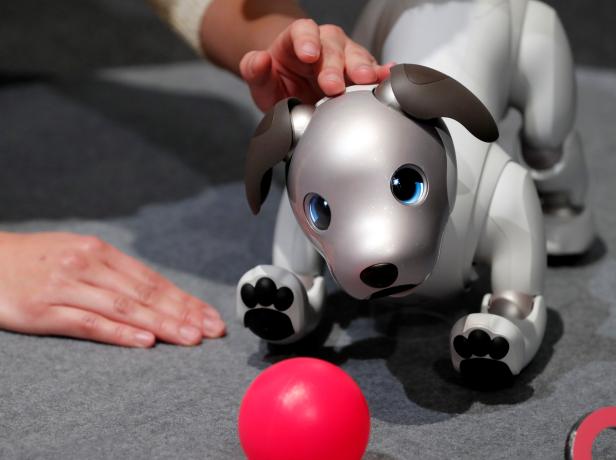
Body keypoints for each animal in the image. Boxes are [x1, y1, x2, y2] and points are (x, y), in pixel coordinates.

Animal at [235, 0, 592, 384]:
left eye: (406, 185)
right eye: (319, 211)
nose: (377, 271)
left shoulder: (503, 195)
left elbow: (518, 295)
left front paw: (489, 342)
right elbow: (302, 273)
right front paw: (273, 302)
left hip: (540, 47)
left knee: (548, 144)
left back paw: (563, 222)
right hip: (368, 27)